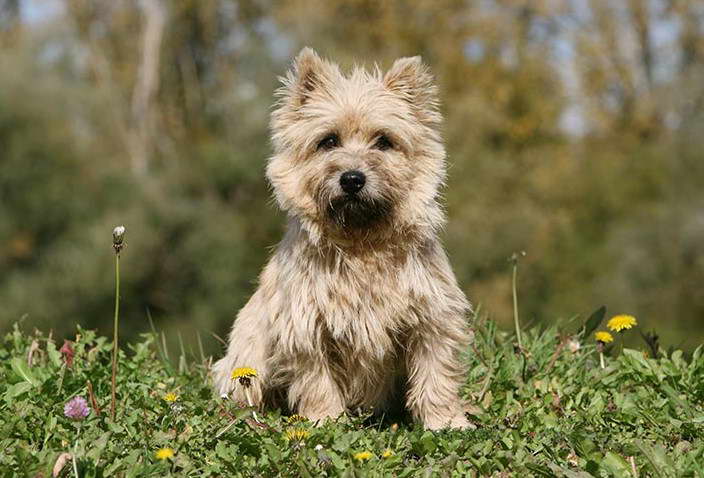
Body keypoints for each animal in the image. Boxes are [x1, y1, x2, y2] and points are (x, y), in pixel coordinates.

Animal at [212, 48, 470, 430]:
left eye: (384, 141)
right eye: (328, 141)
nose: (352, 179)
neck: (362, 243)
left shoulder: (431, 319)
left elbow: (435, 374)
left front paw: (446, 422)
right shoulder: (306, 328)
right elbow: (317, 381)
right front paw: (325, 421)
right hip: (247, 360)